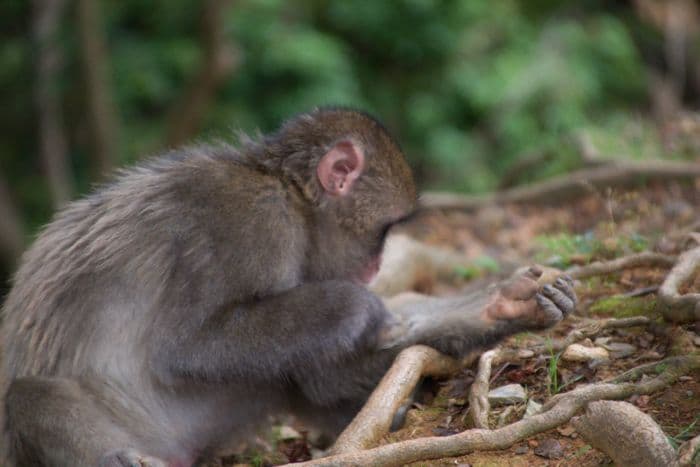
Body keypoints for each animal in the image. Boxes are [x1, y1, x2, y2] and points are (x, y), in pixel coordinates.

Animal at [0, 108, 576, 466]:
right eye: (385, 230)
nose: (378, 264)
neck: (289, 194)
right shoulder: (252, 220)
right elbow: (186, 347)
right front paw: (360, 306)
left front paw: (505, 304)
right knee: (27, 396)